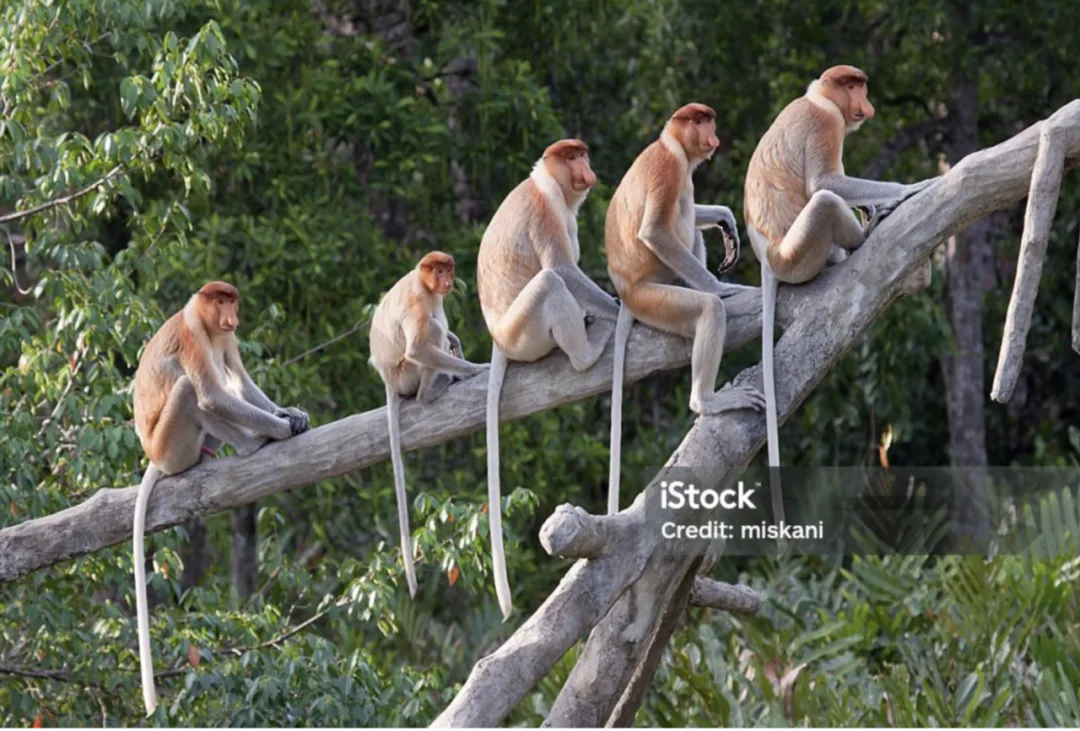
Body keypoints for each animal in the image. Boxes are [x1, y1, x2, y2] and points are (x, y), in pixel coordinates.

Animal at [131, 281, 311, 716]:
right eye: (220, 300)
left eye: (232, 301)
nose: (230, 314)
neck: (209, 324)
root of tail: (153, 455)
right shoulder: (194, 334)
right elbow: (212, 395)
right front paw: (279, 428)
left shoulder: (227, 338)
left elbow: (241, 381)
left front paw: (289, 412)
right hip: (173, 446)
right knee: (190, 390)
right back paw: (251, 443)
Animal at [368, 250, 489, 600]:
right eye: (438, 271)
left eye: (448, 269)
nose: (447, 280)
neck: (422, 282)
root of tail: (389, 381)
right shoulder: (419, 300)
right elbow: (419, 347)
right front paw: (474, 369)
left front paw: (456, 343)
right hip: (405, 374)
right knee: (430, 331)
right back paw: (432, 390)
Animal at [477, 138, 620, 619]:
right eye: (571, 156)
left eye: (583, 154)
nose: (587, 169)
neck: (547, 184)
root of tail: (499, 338)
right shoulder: (544, 212)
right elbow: (564, 269)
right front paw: (617, 309)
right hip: (526, 331)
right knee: (550, 282)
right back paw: (587, 351)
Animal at [604, 103, 764, 514]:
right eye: (701, 122)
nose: (714, 136)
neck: (671, 144)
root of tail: (626, 291)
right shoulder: (669, 169)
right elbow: (655, 232)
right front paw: (722, 288)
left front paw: (726, 219)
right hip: (656, 296)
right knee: (705, 306)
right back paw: (707, 400)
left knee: (690, 224)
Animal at [743, 64, 938, 488]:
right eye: (852, 86)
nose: (867, 105)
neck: (817, 97)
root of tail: (768, 258)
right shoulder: (826, 123)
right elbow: (825, 182)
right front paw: (910, 188)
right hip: (799, 254)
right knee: (825, 201)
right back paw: (864, 236)